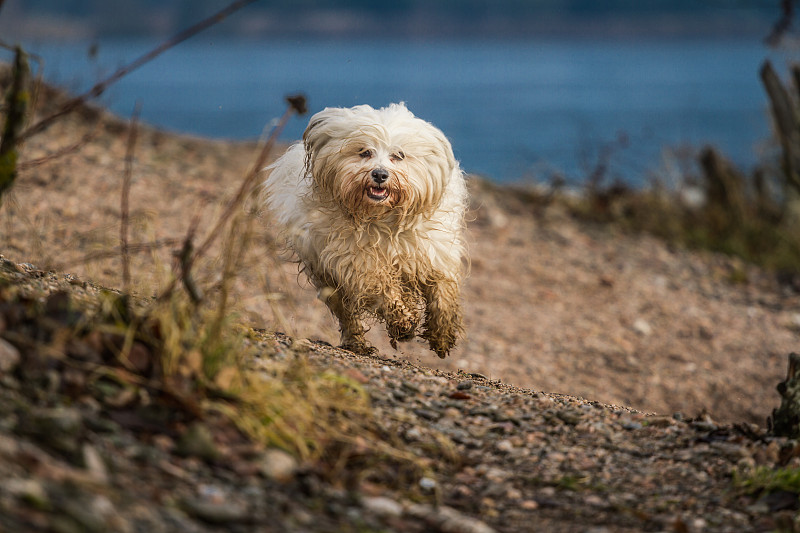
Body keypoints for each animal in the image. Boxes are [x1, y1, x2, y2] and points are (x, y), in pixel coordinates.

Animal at [262, 102, 466, 358]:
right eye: (364, 152)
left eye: (398, 155)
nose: (379, 174)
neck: (382, 220)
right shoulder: (356, 263)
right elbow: (382, 287)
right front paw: (402, 320)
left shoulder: (434, 254)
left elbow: (442, 294)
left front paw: (442, 335)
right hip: (327, 277)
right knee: (346, 313)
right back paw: (358, 342)